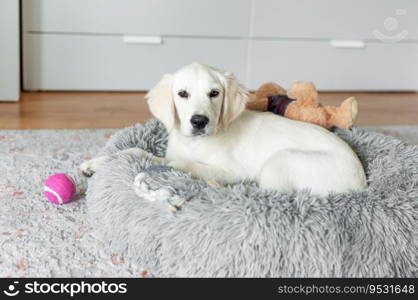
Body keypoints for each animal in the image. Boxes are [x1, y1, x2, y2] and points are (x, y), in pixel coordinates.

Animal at [81, 62, 366, 196]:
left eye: (214, 93)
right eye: (182, 94)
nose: (199, 121)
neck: (194, 142)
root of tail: (361, 184)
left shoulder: (233, 169)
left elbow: (181, 164)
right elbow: (135, 151)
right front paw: (95, 163)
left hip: (280, 161)